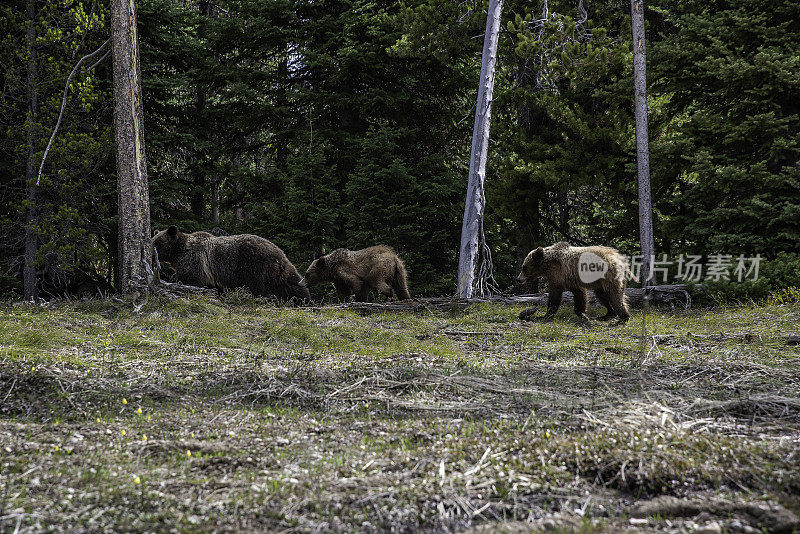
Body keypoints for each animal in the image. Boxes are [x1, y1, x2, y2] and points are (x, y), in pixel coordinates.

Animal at [152, 224, 310, 304]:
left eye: (156, 242)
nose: (152, 255)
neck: (178, 252)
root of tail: (278, 255)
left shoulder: (194, 262)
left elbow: (191, 281)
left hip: (252, 266)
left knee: (258, 288)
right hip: (281, 269)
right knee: (293, 283)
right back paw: (303, 301)